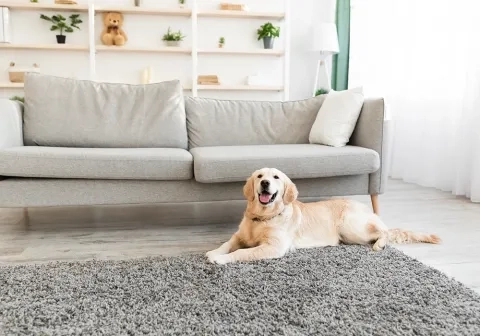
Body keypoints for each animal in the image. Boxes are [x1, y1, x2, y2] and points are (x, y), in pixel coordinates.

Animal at [204, 167, 440, 264]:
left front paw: (221, 259)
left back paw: (379, 244)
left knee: (385, 232)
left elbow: (241, 252)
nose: (265, 183)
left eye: (276, 177)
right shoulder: (239, 236)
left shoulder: (274, 247)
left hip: (351, 227)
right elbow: (227, 243)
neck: (262, 218)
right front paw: (214, 252)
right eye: (259, 176)